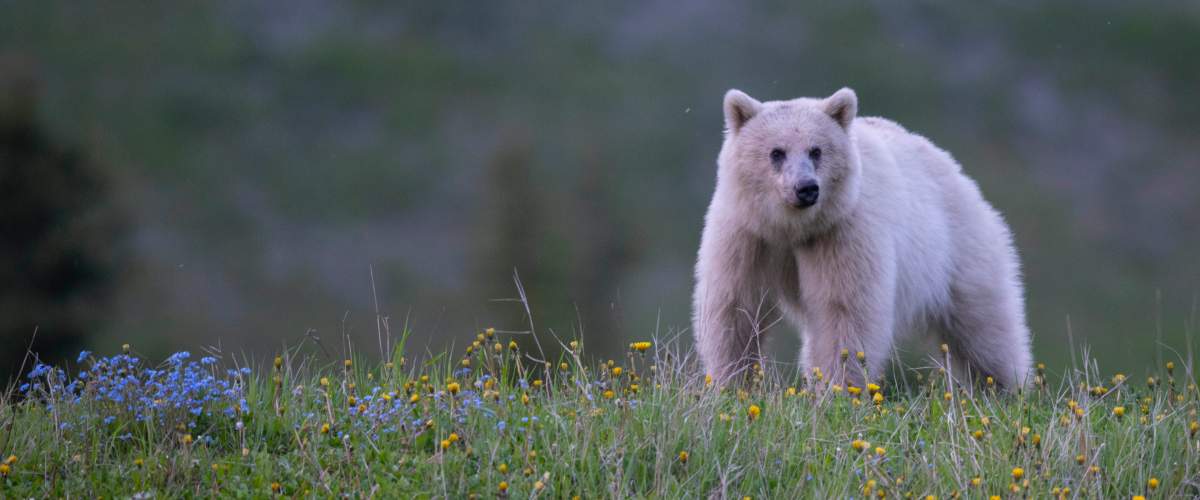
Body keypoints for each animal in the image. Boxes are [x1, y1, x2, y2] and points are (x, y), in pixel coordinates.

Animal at [692, 87, 1032, 390]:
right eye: (777, 152)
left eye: (816, 150)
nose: (806, 188)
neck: (791, 228)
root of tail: (959, 173)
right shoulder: (746, 235)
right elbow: (734, 306)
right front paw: (730, 384)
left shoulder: (841, 232)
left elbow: (844, 311)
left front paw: (838, 391)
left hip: (958, 251)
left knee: (985, 328)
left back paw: (1007, 389)